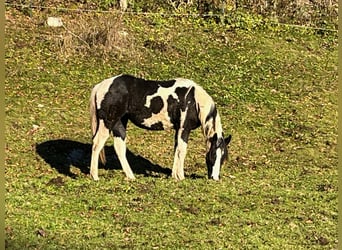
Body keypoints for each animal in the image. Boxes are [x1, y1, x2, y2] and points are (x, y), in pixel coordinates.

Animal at [89, 73, 231, 181]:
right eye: (213, 155)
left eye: (223, 157)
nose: (214, 178)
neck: (194, 99)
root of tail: (100, 86)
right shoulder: (184, 128)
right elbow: (182, 150)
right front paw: (181, 176)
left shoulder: (178, 129)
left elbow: (176, 149)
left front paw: (174, 175)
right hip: (108, 122)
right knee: (97, 144)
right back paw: (95, 176)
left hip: (119, 122)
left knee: (119, 147)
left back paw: (131, 176)